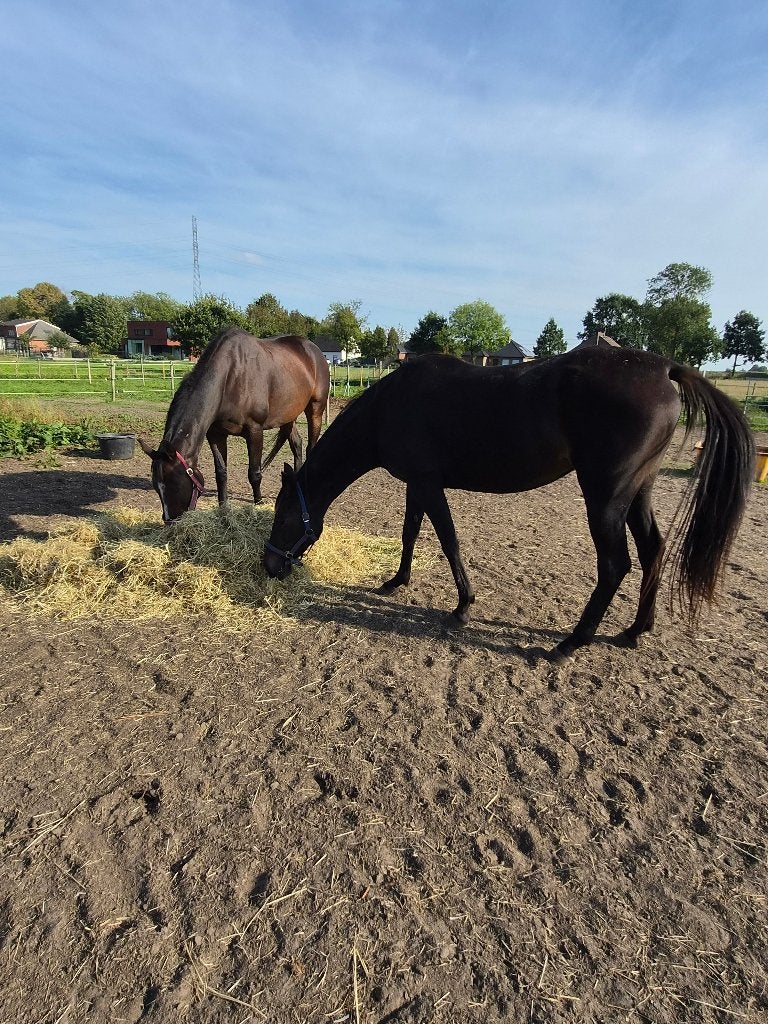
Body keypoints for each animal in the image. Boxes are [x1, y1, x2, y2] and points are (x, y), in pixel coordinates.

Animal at [139, 328, 330, 523]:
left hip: (315, 409)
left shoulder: (255, 431)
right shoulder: (215, 434)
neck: (230, 377)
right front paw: (223, 506)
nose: (170, 521)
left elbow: (254, 473)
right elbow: (221, 472)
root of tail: (313, 349)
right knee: (297, 444)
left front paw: (258, 503)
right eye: (156, 486)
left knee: (310, 446)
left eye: (174, 484)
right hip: (288, 415)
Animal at [263, 346, 754, 659]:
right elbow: (410, 534)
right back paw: (635, 631)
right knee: (654, 550)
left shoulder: (428, 484)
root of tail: (664, 368)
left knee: (616, 565)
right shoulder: (417, 484)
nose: (268, 567)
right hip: (639, 490)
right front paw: (396, 581)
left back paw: (569, 645)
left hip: (606, 496)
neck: (392, 404)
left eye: (283, 516)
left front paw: (463, 606)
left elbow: (448, 541)